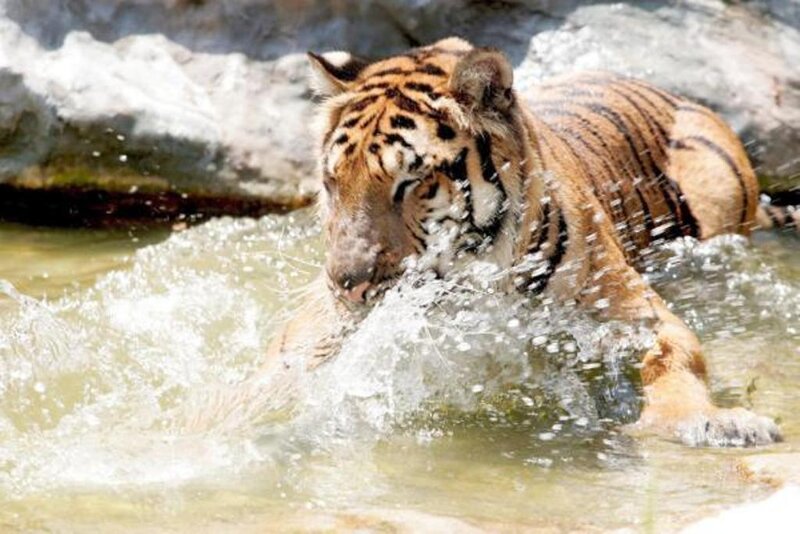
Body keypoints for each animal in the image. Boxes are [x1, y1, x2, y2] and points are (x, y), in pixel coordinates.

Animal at [264, 37, 790, 447]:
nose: (348, 285)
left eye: (410, 183)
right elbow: (282, 369)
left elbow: (675, 357)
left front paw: (707, 422)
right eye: (333, 182)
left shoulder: (638, 309)